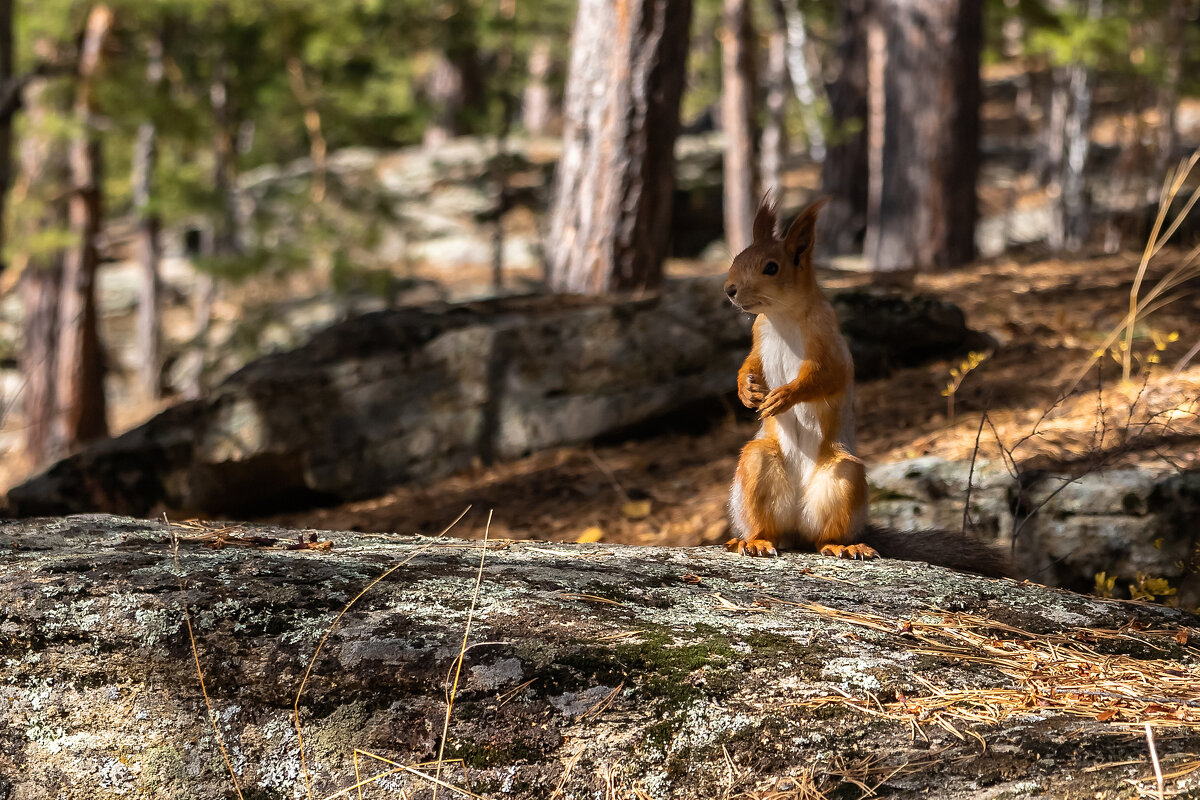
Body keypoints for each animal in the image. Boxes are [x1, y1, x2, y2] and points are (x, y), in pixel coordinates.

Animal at [724, 196, 1008, 578]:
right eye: (738, 257)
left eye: (771, 267)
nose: (730, 290)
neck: (782, 316)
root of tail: (797, 526)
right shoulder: (758, 339)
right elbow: (750, 364)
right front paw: (746, 390)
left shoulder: (831, 347)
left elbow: (825, 378)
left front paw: (784, 395)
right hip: (757, 467)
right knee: (768, 525)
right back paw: (753, 541)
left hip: (845, 475)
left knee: (825, 536)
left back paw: (844, 546)